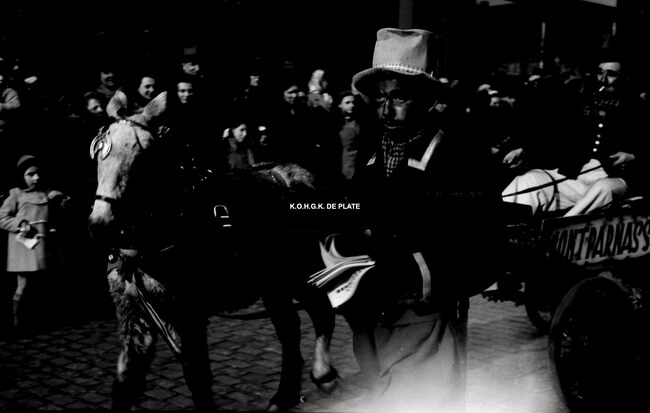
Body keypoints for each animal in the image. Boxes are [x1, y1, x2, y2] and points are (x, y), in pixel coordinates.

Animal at [88, 92, 341, 411]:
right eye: (99, 152)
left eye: (142, 158)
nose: (100, 224)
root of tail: (305, 175)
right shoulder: (134, 316)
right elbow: (125, 384)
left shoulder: (187, 315)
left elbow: (197, 377)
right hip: (272, 283)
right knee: (289, 328)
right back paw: (284, 395)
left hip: (300, 271)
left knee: (321, 310)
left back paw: (323, 374)